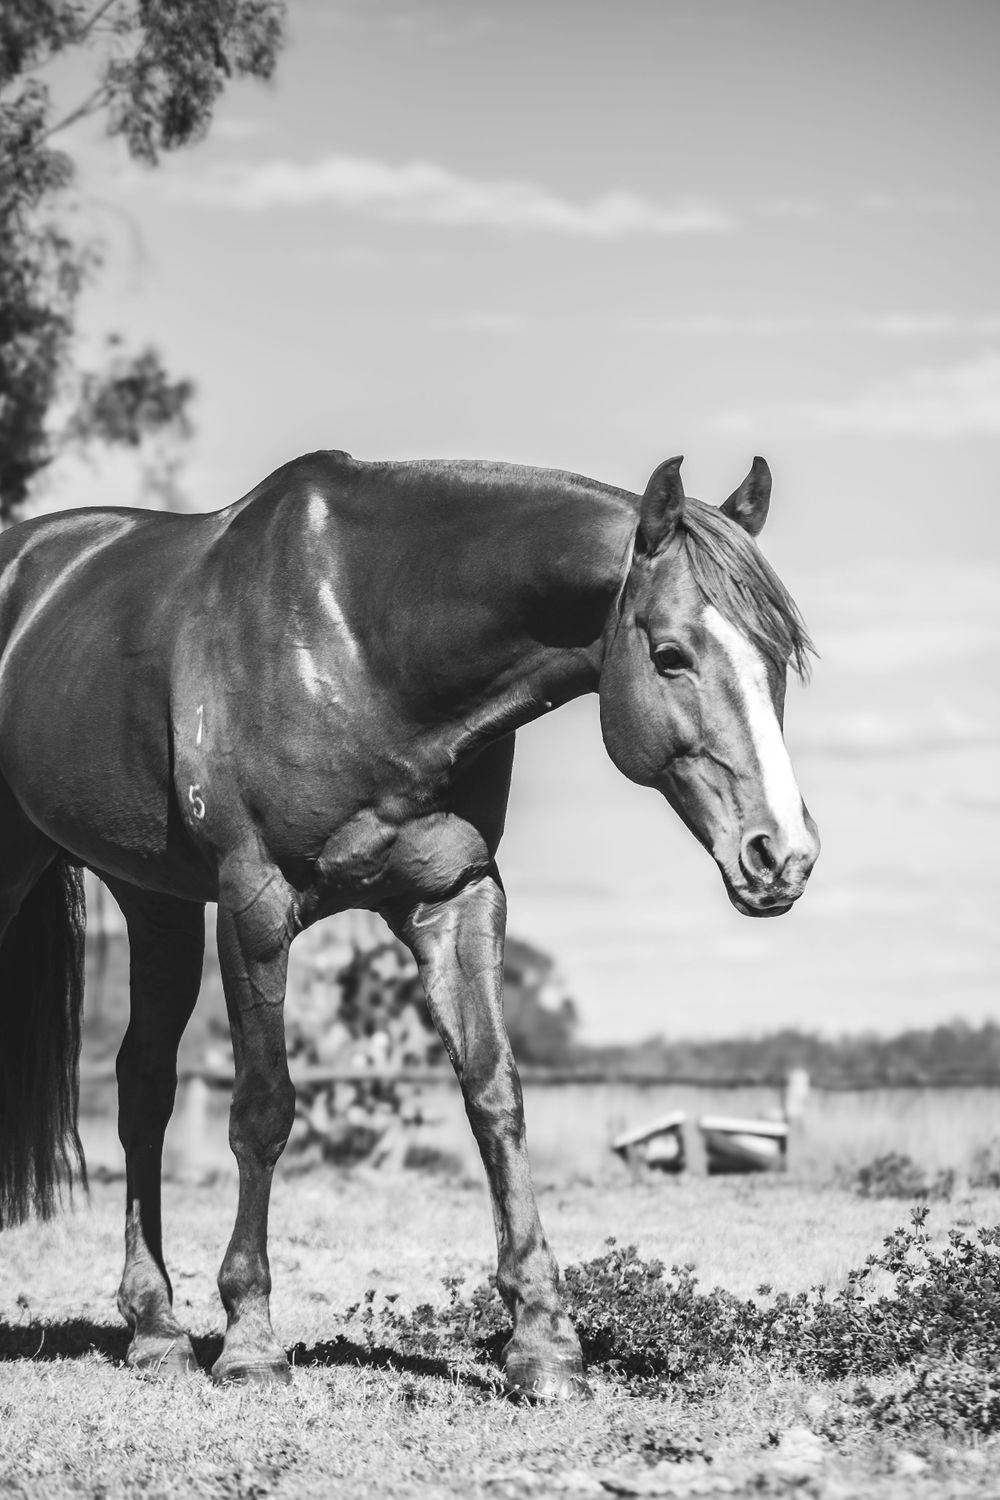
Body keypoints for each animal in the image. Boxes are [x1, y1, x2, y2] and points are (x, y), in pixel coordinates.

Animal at [0, 449, 819, 1399]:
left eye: (780, 658)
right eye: (671, 654)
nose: (782, 855)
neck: (360, 638)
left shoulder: (455, 899)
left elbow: (495, 1094)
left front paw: (544, 1343)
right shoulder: (254, 905)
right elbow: (264, 1109)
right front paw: (251, 1340)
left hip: (155, 902)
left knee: (142, 1090)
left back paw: (156, 1330)